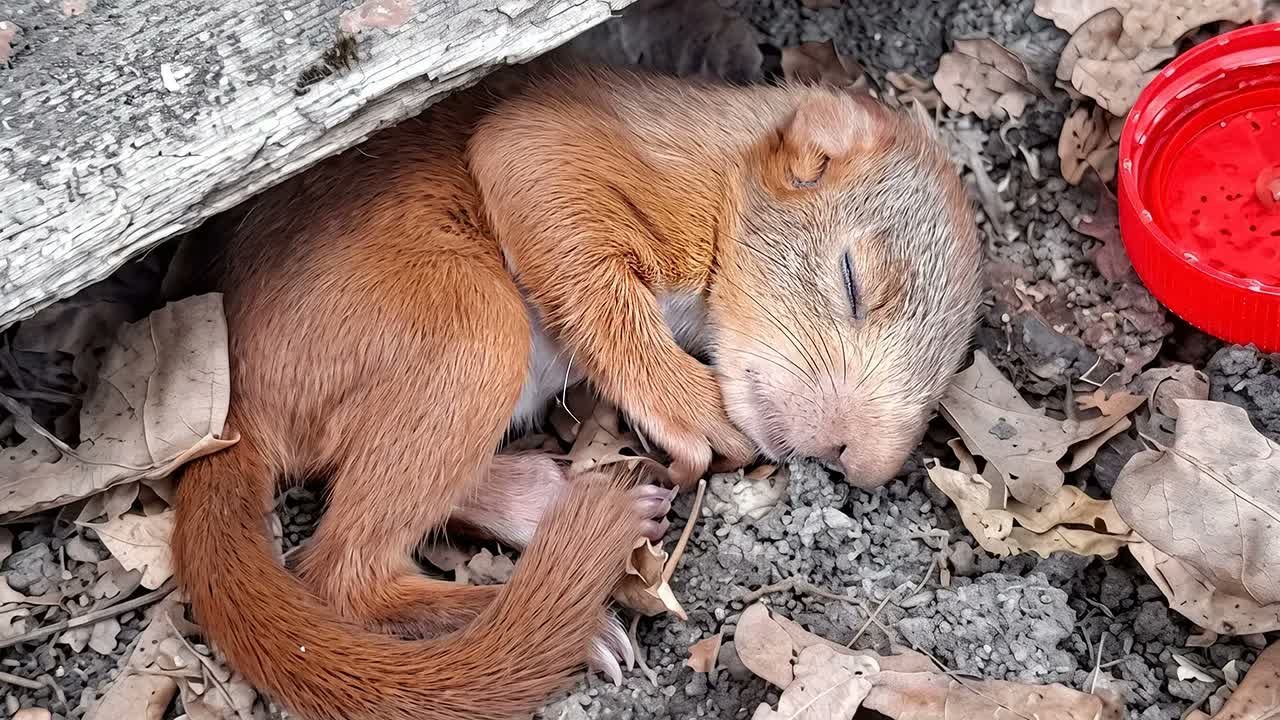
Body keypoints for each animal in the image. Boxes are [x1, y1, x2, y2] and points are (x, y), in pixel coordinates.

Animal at [169, 63, 981, 720]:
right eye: (852, 280)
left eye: (948, 377)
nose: (862, 464)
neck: (726, 161)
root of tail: (238, 413)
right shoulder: (565, 151)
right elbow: (595, 282)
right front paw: (694, 409)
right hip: (476, 328)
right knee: (342, 574)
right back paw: (572, 618)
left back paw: (553, 501)